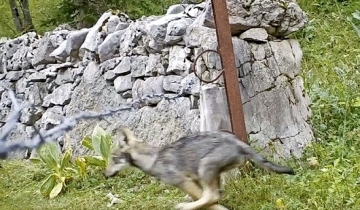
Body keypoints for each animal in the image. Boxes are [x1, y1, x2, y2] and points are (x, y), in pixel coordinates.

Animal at [103, 127, 296, 209]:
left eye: (113, 159)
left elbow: (209, 201)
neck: (153, 158)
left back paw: (183, 206)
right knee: (215, 194)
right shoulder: (194, 180)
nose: (104, 174)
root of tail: (239, 143)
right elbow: (210, 200)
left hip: (205, 167)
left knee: (212, 195)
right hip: (212, 174)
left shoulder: (183, 181)